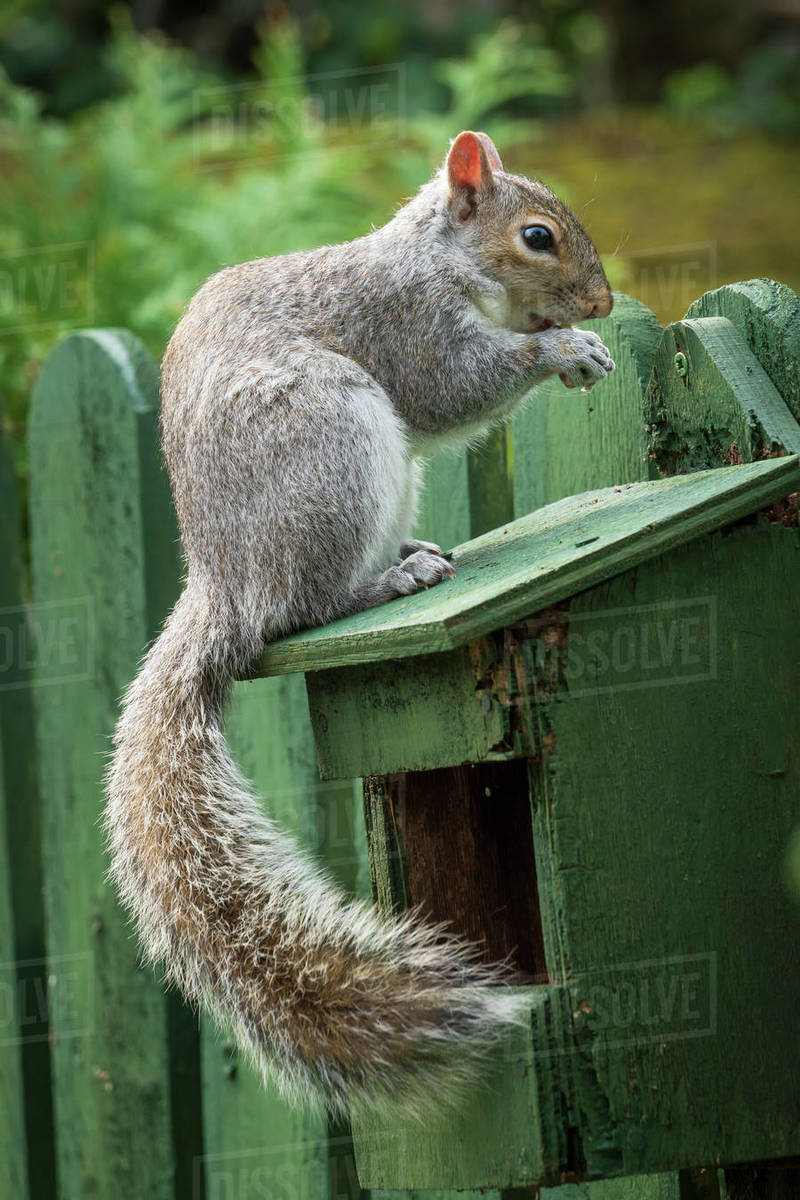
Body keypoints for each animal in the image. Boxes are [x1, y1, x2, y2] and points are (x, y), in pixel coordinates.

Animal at [105, 130, 615, 1118]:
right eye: (537, 237)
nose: (604, 302)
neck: (438, 260)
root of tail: (227, 582)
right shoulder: (406, 327)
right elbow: (453, 387)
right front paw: (562, 347)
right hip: (328, 439)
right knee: (302, 608)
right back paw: (390, 580)